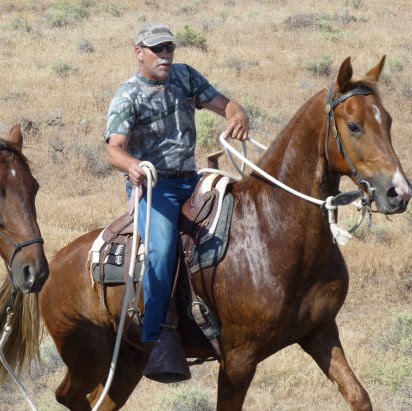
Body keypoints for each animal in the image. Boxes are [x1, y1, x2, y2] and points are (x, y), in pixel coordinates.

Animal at [40, 56, 410, 410]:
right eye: (354, 126)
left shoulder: (320, 332)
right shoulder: (238, 359)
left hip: (129, 361)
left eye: (389, 121)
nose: (398, 193)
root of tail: (53, 264)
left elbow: (358, 396)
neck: (274, 229)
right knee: (69, 396)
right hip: (88, 358)